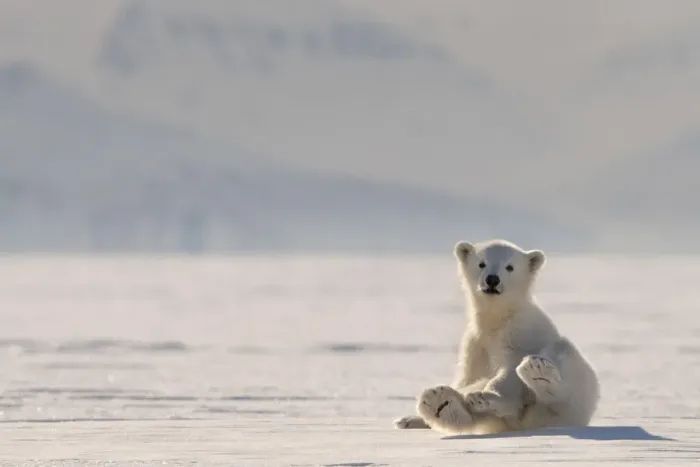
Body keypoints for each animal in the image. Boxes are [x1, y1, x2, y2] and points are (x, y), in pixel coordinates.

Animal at [394, 239, 600, 435]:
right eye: (481, 263)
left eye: (510, 266)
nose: (492, 279)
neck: (497, 320)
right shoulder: (475, 343)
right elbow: (468, 377)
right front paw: (415, 417)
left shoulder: (518, 335)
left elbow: (509, 372)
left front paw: (486, 396)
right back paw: (437, 404)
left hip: (577, 395)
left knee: (562, 367)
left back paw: (537, 373)